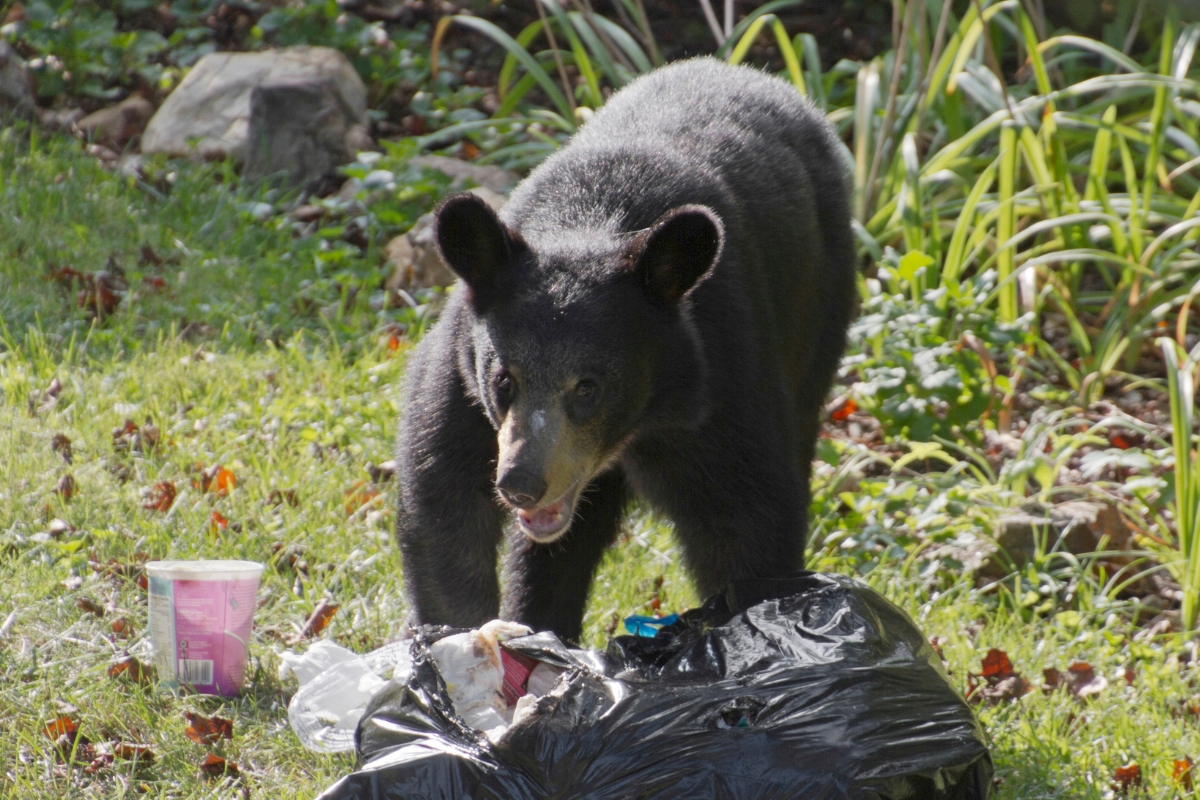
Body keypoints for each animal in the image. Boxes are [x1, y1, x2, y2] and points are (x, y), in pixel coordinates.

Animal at [398, 56, 859, 642]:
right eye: (504, 380)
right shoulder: (462, 386)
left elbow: (746, 524)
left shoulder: (720, 382)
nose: (520, 484)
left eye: (588, 387)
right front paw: (462, 638)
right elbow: (446, 505)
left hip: (820, 313)